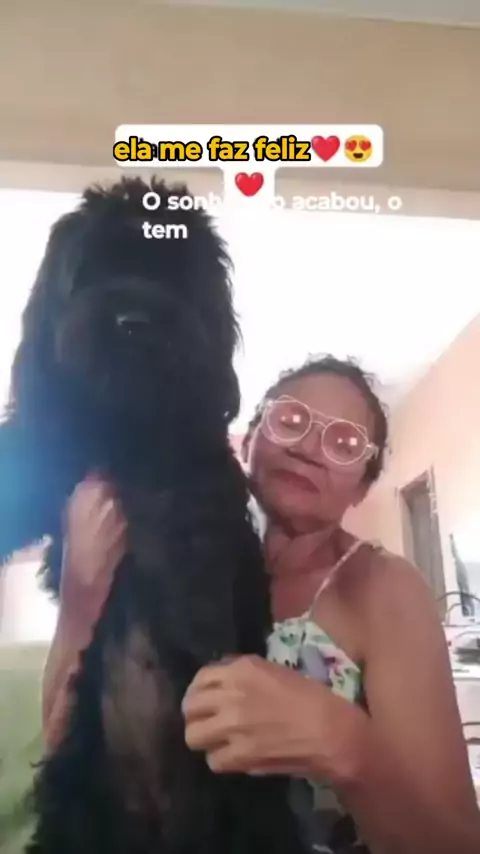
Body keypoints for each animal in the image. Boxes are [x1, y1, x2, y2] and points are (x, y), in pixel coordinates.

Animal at [0, 178, 310, 854]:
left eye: (173, 274)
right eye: (92, 269)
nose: (134, 323)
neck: (122, 421)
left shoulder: (189, 447)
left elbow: (182, 499)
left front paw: (199, 618)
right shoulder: (53, 445)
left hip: (248, 811)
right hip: (73, 794)